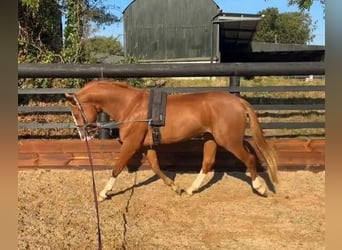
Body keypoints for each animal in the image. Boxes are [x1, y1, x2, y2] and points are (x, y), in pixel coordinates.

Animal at [65, 80, 278, 201]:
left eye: (75, 112)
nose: (83, 135)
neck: (131, 106)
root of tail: (237, 101)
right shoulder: (147, 145)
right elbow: (156, 167)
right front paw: (176, 188)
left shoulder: (131, 144)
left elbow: (117, 167)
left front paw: (103, 193)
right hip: (211, 138)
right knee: (208, 163)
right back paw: (191, 189)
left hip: (229, 141)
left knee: (249, 159)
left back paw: (260, 188)